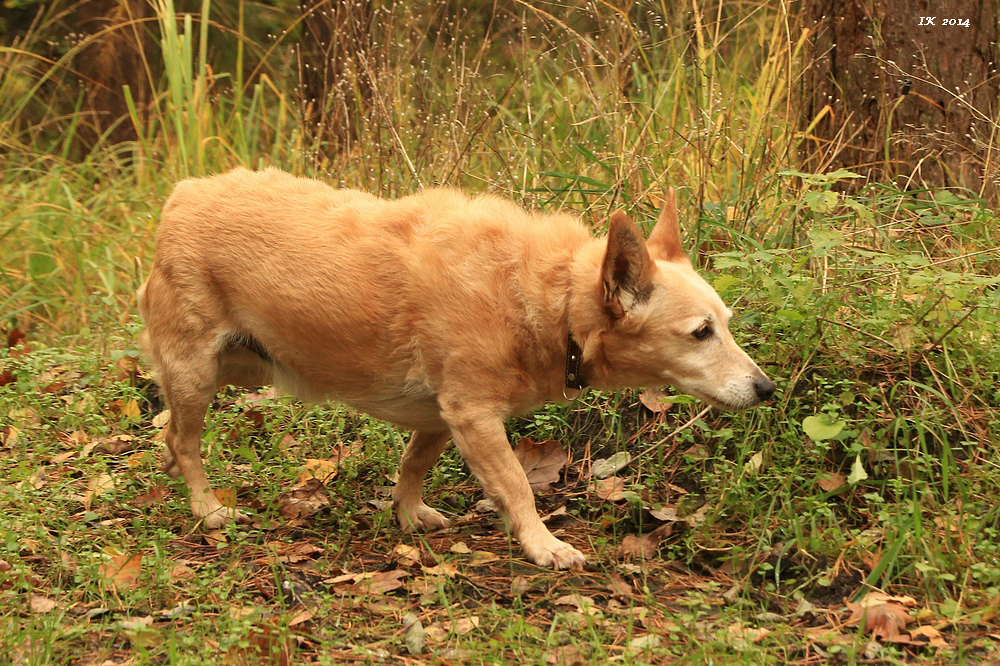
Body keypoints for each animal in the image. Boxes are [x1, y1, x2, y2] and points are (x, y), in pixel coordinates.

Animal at [137, 166, 772, 564]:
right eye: (701, 333)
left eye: (727, 323)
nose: (766, 389)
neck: (549, 296)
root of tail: (180, 196)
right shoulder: (473, 414)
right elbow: (516, 486)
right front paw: (543, 546)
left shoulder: (442, 416)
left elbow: (413, 465)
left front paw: (409, 515)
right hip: (197, 373)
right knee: (185, 440)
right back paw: (207, 509)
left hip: (239, 367)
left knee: (170, 434)